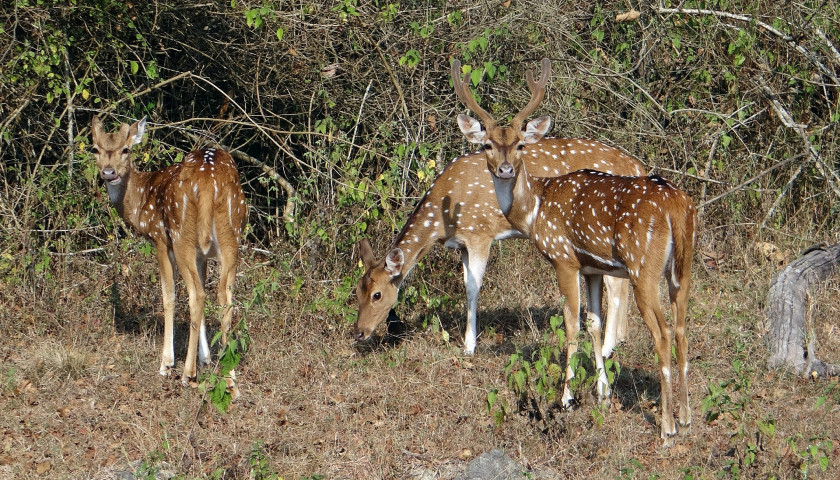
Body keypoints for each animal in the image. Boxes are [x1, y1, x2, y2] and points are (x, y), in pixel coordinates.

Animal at [94, 115, 249, 398]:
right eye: (95, 149)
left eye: (126, 149)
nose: (109, 172)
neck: (139, 205)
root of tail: (208, 183)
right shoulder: (202, 255)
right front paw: (206, 358)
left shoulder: (159, 238)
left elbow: (169, 296)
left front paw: (167, 363)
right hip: (231, 235)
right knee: (224, 298)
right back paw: (229, 378)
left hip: (181, 236)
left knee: (196, 295)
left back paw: (187, 374)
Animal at [352, 84, 648, 356]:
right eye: (357, 290)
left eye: (377, 294)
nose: (359, 332)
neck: (442, 219)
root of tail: (637, 166)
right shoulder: (463, 244)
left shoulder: (480, 233)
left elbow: (472, 288)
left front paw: (469, 346)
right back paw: (620, 339)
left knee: (616, 286)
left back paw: (608, 348)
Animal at [452, 60, 696, 446]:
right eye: (489, 144)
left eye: (520, 145)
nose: (505, 169)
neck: (535, 209)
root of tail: (676, 205)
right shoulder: (592, 267)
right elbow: (594, 323)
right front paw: (602, 392)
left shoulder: (564, 258)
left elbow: (571, 325)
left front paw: (565, 397)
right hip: (683, 266)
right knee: (684, 327)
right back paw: (686, 419)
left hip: (643, 267)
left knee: (663, 333)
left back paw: (667, 427)